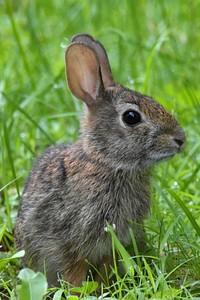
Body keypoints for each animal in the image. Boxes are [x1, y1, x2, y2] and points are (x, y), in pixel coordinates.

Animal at [15, 34, 186, 288]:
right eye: (131, 117)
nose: (181, 139)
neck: (106, 163)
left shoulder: (114, 243)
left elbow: (105, 268)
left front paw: (104, 288)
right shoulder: (72, 242)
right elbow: (74, 271)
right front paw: (80, 291)